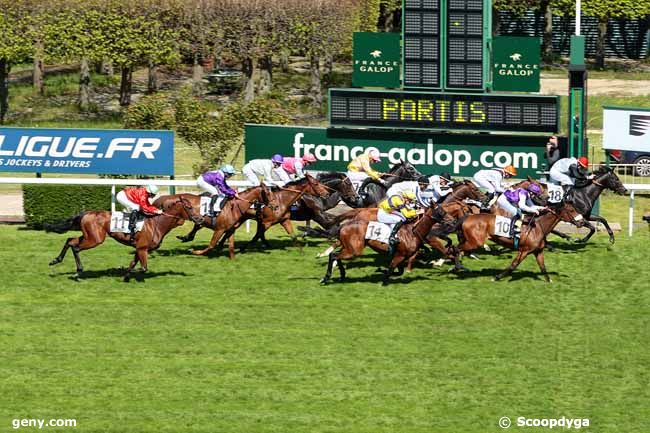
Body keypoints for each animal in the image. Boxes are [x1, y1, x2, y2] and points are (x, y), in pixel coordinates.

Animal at [45, 198, 199, 282]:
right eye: (189, 207)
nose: (199, 218)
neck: (158, 223)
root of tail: (85, 213)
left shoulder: (140, 248)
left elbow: (133, 263)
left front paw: (126, 276)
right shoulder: (142, 248)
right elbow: (143, 268)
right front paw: (123, 270)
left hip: (89, 236)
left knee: (70, 240)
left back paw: (56, 260)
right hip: (95, 239)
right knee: (76, 247)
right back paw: (78, 271)